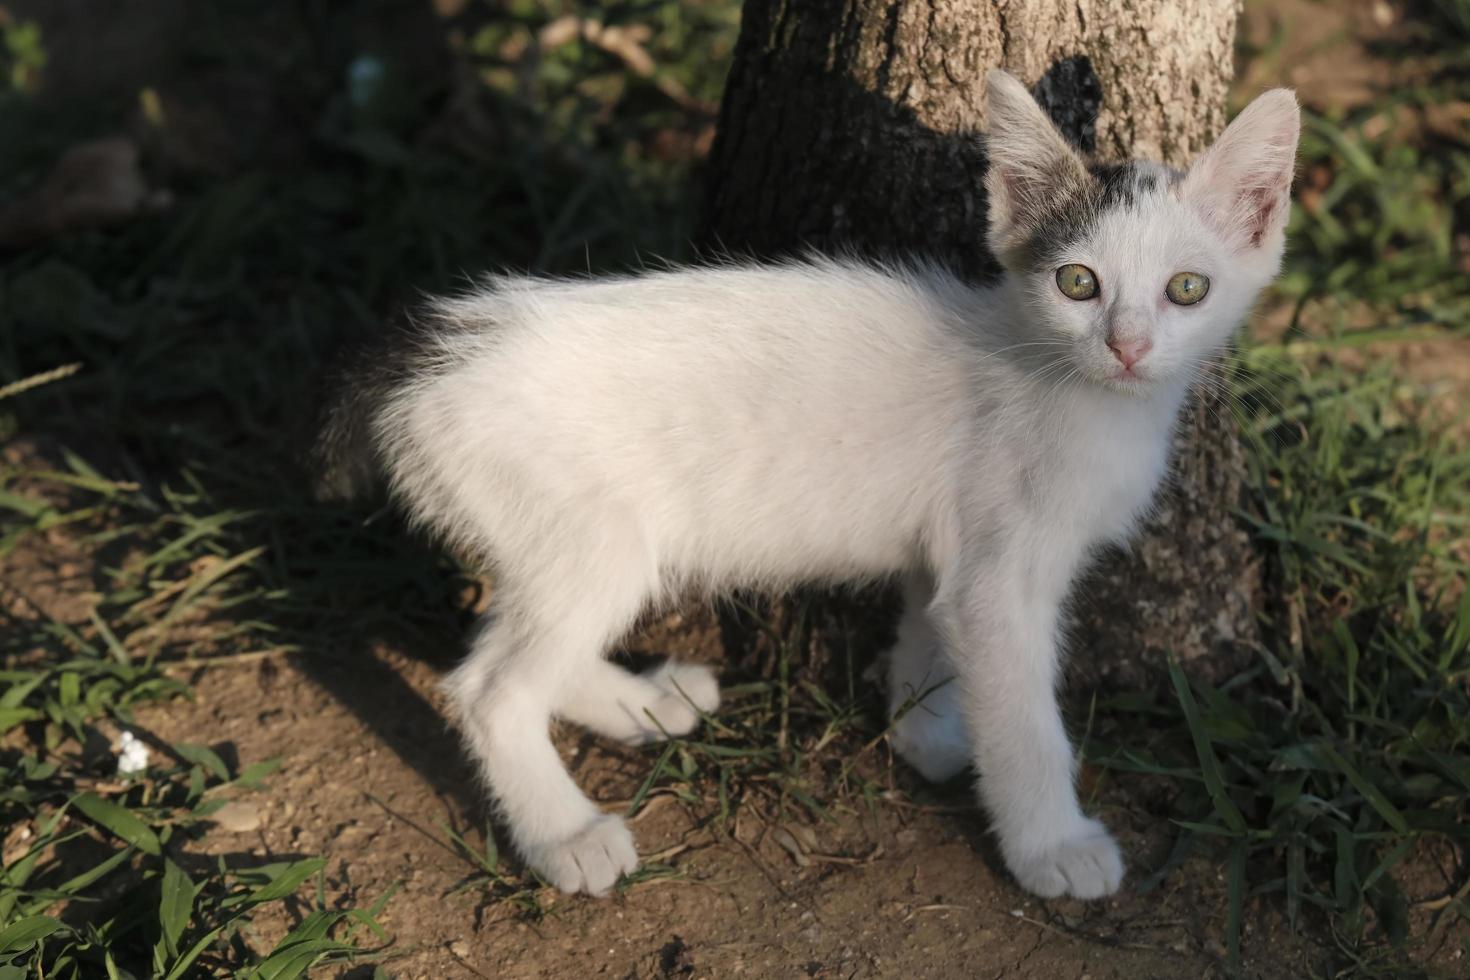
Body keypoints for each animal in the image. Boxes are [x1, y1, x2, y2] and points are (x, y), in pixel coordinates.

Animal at [313, 72, 1299, 899]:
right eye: (1078, 283)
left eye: (1187, 289)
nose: (1128, 347)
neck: (1068, 384)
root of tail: (428, 360)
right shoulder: (1002, 575)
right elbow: (1025, 715)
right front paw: (1049, 842)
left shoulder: (951, 548)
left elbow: (934, 634)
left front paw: (930, 733)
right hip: (593, 536)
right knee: (489, 689)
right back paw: (566, 835)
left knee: (512, 651)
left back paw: (642, 702)